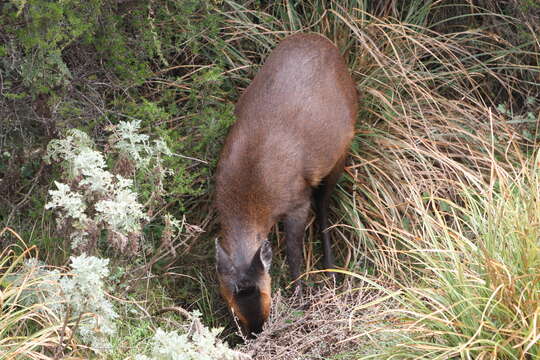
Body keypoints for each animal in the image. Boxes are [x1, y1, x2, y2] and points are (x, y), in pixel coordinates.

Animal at [215, 32, 358, 336]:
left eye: (267, 294)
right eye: (232, 306)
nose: (256, 330)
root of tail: (325, 40)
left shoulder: (296, 201)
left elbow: (294, 253)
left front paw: (302, 300)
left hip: (341, 148)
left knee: (323, 206)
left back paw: (332, 273)